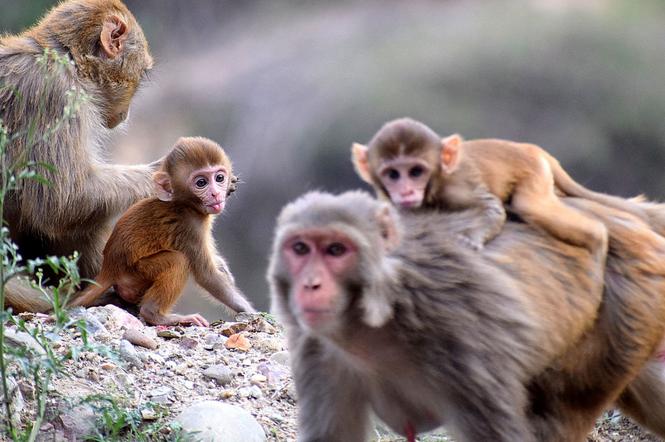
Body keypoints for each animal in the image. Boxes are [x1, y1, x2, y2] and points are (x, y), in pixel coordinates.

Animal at [72, 136, 254, 326]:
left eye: (219, 178)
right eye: (201, 183)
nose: (215, 194)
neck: (184, 205)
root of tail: (108, 268)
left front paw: (223, 268)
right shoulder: (190, 227)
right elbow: (207, 277)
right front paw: (251, 311)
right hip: (136, 274)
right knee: (177, 261)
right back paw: (156, 314)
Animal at [352, 119, 616, 254]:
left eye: (416, 172)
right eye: (392, 174)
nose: (405, 191)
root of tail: (531, 148)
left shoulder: (458, 185)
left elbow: (491, 207)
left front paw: (473, 238)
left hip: (534, 172)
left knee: (530, 206)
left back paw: (598, 240)